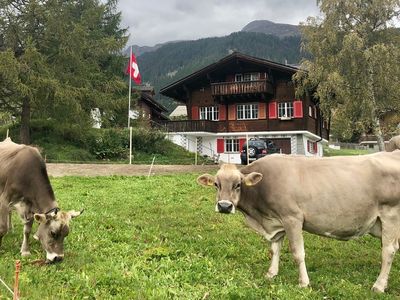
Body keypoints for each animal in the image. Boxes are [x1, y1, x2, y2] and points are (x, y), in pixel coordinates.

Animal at [197, 151, 400, 292]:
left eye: (238, 184)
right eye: (216, 184)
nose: (224, 206)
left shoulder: (292, 217)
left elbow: (298, 253)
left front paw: (304, 283)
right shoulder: (276, 222)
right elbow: (274, 249)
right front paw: (271, 273)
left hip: (390, 215)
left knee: (388, 251)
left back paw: (379, 286)